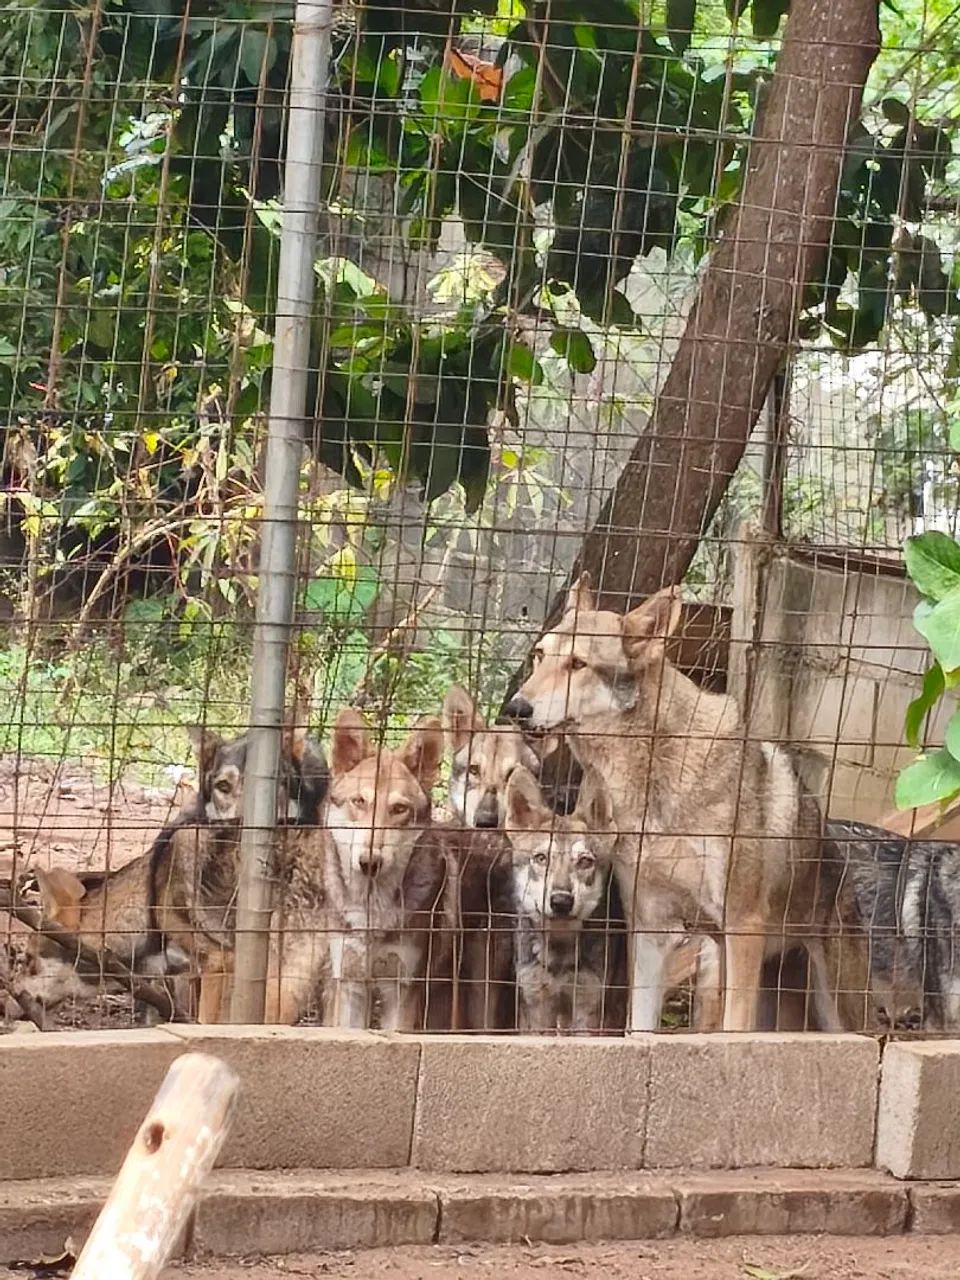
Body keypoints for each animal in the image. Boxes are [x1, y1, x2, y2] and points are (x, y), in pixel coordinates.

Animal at [264, 710, 457, 1029]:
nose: (369, 862)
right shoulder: (349, 985)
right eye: (359, 802)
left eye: (399, 809)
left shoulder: (400, 990)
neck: (371, 912)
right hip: (288, 989)